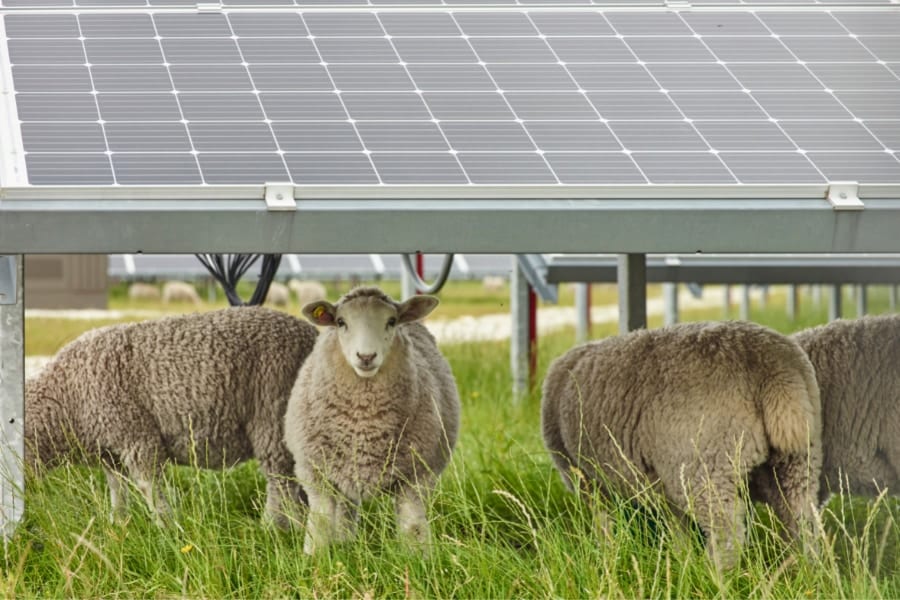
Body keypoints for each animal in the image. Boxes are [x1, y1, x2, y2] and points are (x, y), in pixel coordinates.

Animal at [24, 308, 318, 528]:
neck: (65, 397)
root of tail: (312, 334)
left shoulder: (137, 436)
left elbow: (151, 490)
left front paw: (167, 531)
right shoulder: (110, 452)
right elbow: (118, 491)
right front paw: (118, 526)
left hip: (274, 413)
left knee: (281, 484)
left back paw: (271, 529)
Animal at [284, 284, 460, 552]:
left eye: (391, 321)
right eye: (341, 322)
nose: (366, 357)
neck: (363, 423)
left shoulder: (415, 477)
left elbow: (413, 528)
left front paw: (419, 559)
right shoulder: (315, 473)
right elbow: (320, 525)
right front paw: (314, 558)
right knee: (345, 511)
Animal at [540, 322, 824, 568]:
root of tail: (773, 367)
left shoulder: (583, 479)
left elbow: (603, 522)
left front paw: (607, 554)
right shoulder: (663, 483)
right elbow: (677, 526)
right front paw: (681, 559)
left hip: (705, 466)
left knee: (727, 533)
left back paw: (716, 577)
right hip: (798, 461)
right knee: (803, 520)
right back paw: (806, 569)